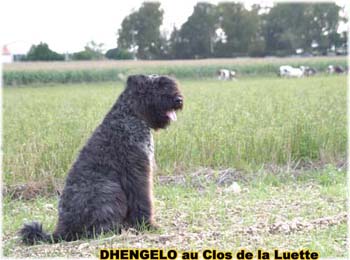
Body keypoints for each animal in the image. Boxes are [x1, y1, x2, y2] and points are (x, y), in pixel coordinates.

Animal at [19, 74, 183, 244]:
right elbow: (142, 200)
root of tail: (64, 229)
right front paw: (148, 226)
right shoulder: (137, 172)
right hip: (109, 191)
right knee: (98, 228)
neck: (130, 115)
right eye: (157, 87)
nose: (178, 99)